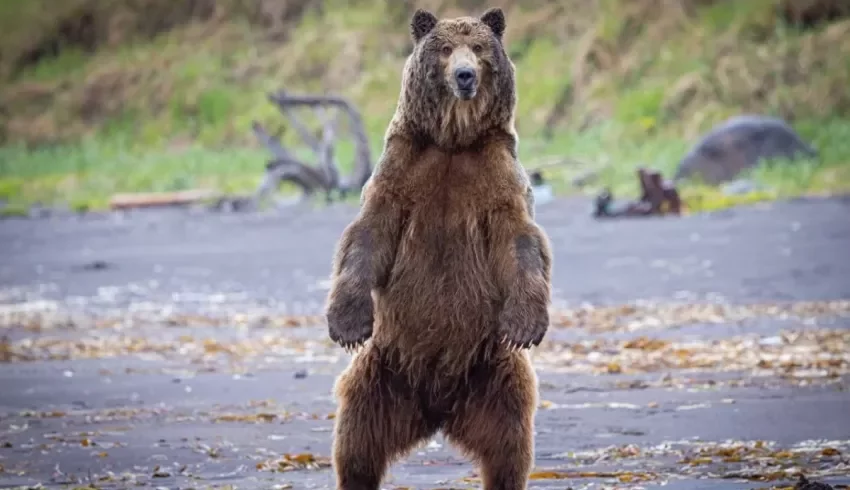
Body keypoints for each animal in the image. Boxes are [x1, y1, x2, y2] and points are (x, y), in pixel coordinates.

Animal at [322, 6, 548, 490]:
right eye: (445, 48)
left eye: (478, 48)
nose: (464, 75)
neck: (452, 140)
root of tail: (438, 410)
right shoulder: (404, 168)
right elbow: (368, 236)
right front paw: (347, 322)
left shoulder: (496, 175)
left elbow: (521, 242)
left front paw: (525, 324)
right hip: (383, 374)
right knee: (356, 440)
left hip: (493, 373)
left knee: (509, 443)